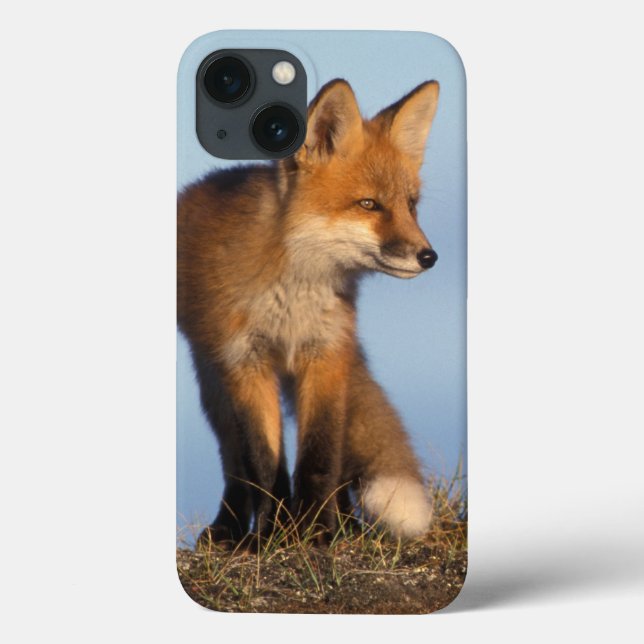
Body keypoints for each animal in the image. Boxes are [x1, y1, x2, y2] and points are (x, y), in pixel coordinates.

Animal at [178, 78, 440, 546]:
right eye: (369, 205)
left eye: (411, 205)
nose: (429, 257)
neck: (293, 297)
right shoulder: (245, 362)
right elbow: (263, 462)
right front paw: (274, 536)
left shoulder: (327, 353)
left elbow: (321, 456)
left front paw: (318, 531)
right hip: (213, 382)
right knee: (234, 462)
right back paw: (231, 529)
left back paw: (346, 525)